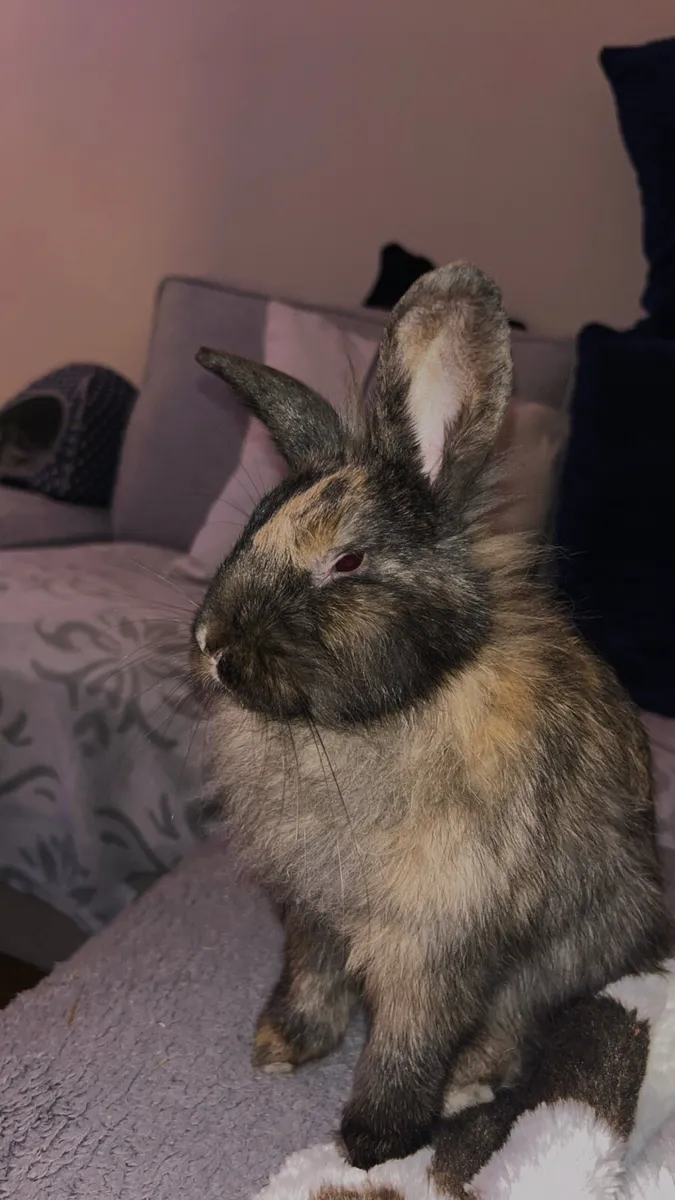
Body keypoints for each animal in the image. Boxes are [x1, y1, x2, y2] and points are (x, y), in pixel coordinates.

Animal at [191, 263, 672, 1172]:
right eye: (248, 530)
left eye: (345, 561)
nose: (210, 645)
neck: (375, 720)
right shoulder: (314, 912)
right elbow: (310, 976)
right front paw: (281, 1048)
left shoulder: (439, 940)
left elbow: (408, 1042)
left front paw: (371, 1144)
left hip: (568, 947)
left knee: (516, 1025)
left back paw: (468, 1087)